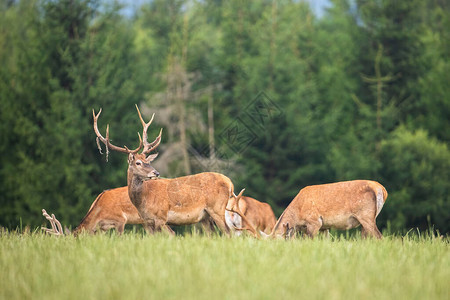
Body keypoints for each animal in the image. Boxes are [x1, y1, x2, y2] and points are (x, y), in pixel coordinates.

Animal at [91, 105, 246, 234]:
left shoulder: (161, 217)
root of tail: (230, 183)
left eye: (148, 161)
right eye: (138, 163)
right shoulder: (147, 221)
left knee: (229, 233)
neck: (143, 201)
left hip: (217, 209)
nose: (156, 173)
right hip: (205, 217)